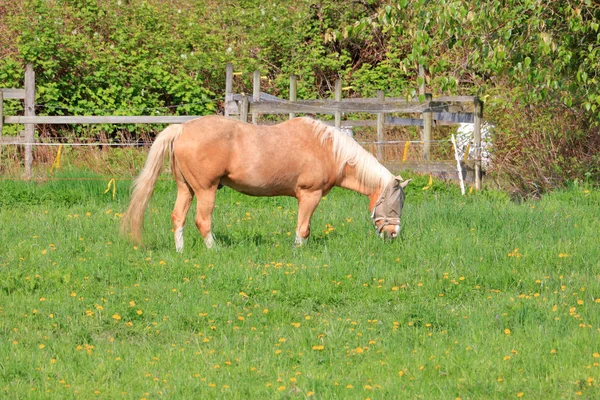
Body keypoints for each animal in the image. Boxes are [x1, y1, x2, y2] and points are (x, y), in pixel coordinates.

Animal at [119, 115, 410, 252]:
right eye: (394, 204)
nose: (394, 233)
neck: (328, 150)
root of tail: (181, 129)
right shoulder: (310, 195)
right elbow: (303, 229)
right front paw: (298, 251)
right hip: (205, 190)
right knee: (202, 221)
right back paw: (214, 249)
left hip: (186, 189)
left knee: (177, 218)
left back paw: (180, 252)